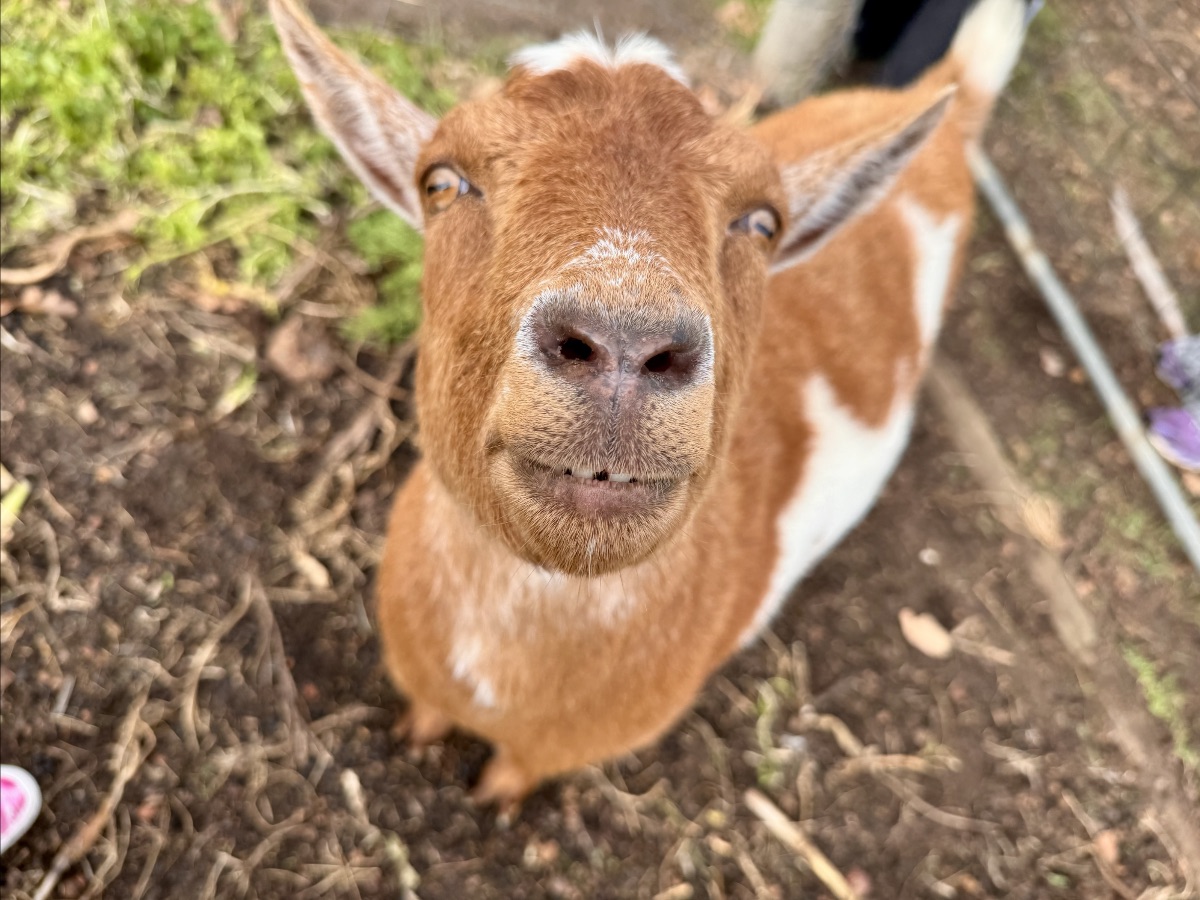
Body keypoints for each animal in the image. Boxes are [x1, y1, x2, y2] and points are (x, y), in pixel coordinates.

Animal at [269, 0, 1030, 808]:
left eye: (763, 223)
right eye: (441, 182)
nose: (625, 342)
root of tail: (952, 99)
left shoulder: (553, 748)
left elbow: (509, 779)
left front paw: (491, 800)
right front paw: (415, 741)